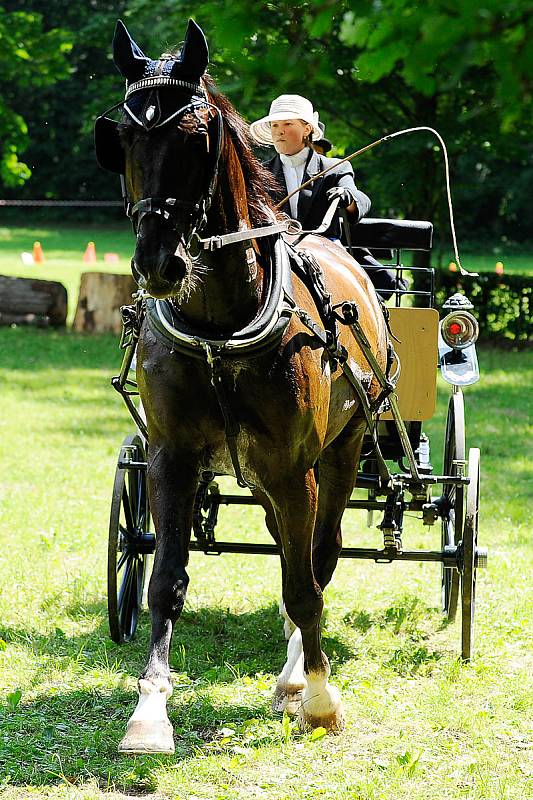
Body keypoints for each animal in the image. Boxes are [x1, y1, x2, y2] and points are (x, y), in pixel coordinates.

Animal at [94, 20, 386, 756]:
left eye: (197, 137)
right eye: (123, 137)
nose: (158, 263)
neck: (219, 324)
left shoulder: (291, 466)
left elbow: (306, 584)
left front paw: (318, 698)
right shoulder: (171, 457)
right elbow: (166, 582)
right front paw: (149, 712)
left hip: (338, 456)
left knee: (317, 556)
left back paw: (295, 675)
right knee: (289, 550)